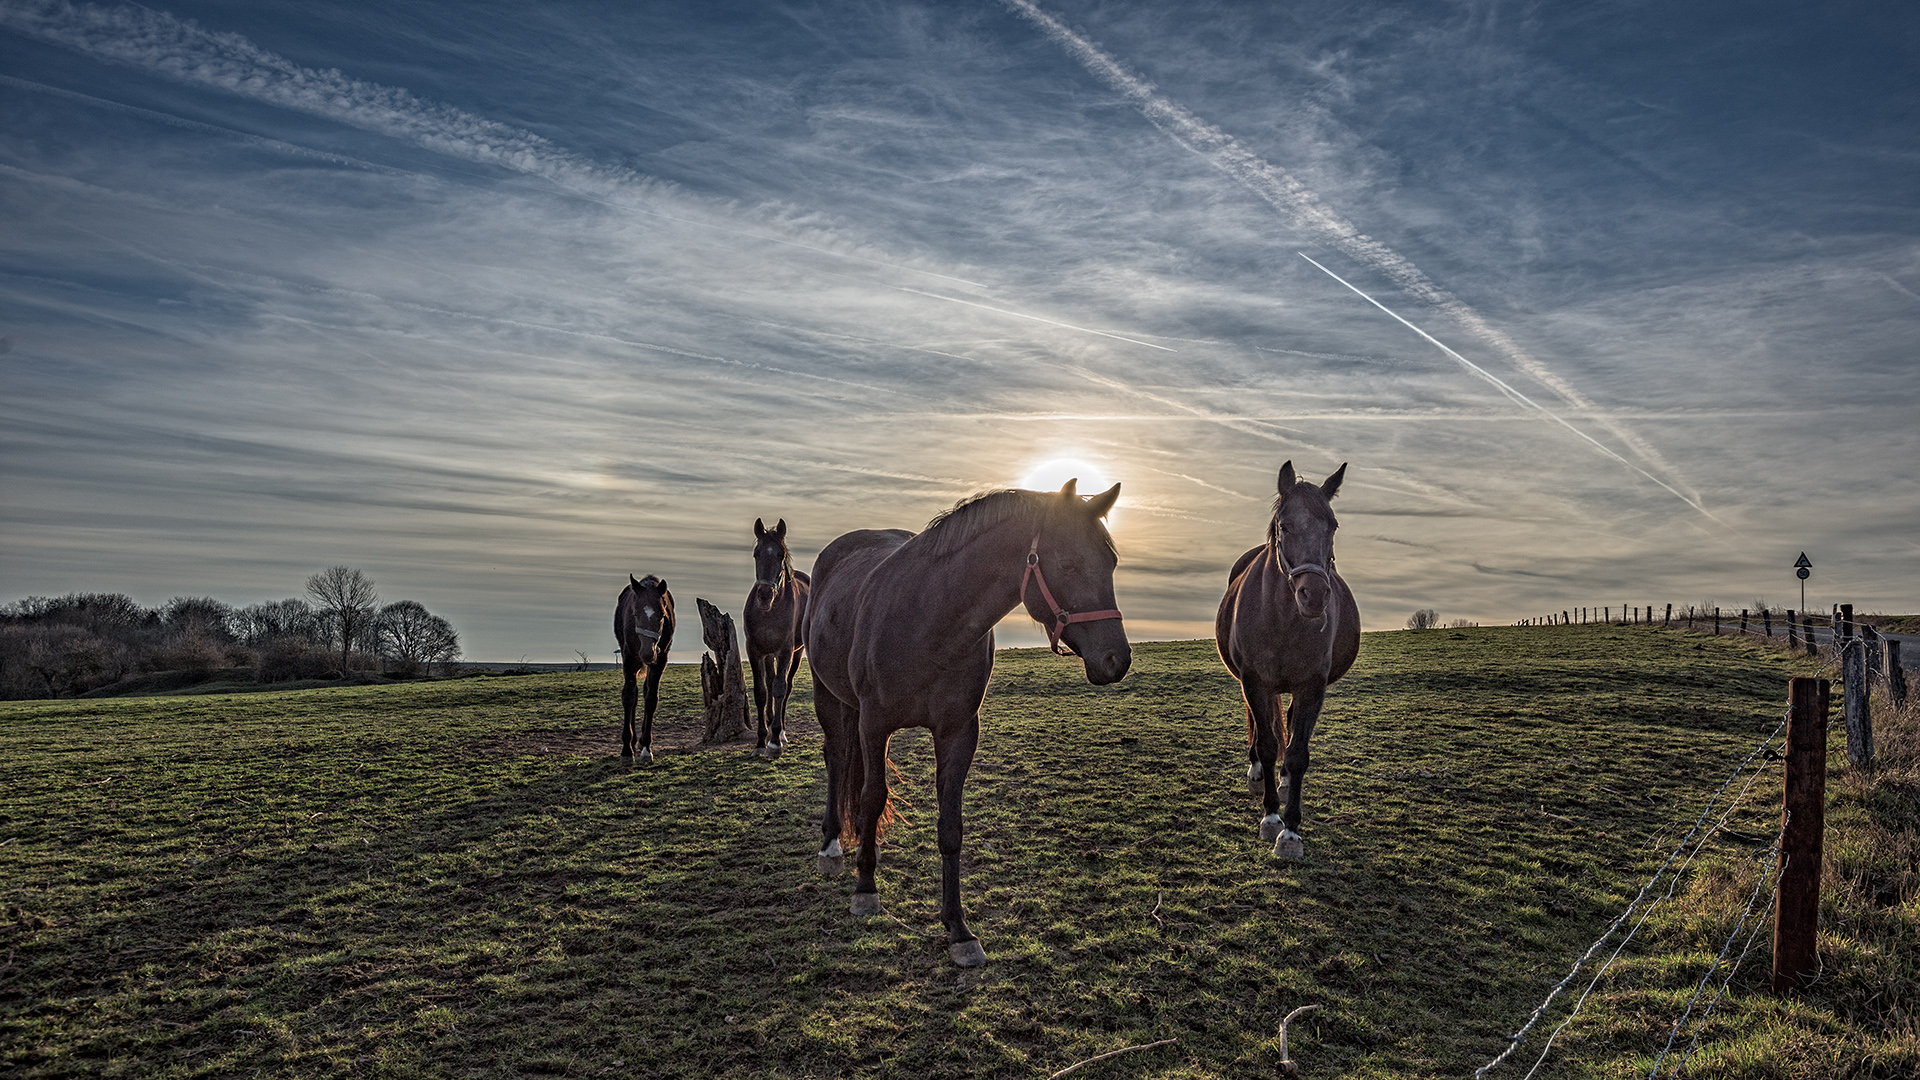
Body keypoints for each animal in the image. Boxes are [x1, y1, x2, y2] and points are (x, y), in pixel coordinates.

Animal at [618, 572, 679, 757]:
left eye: (662, 615)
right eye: (636, 614)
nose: (647, 653)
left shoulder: (660, 661)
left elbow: (651, 698)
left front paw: (646, 746)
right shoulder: (629, 658)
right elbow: (629, 696)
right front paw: (626, 748)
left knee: (645, 692)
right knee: (635, 695)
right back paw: (632, 741)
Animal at [741, 515, 810, 757]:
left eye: (780, 555)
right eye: (756, 553)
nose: (764, 595)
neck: (769, 612)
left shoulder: (785, 651)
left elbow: (780, 688)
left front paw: (774, 741)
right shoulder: (754, 650)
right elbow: (761, 692)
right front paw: (761, 741)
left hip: (796, 653)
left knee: (786, 686)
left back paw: (781, 732)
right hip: (768, 654)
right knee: (770, 683)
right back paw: (771, 723)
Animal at [806, 478, 1128, 968]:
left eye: (1110, 563)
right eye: (1069, 563)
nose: (1117, 659)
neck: (930, 619)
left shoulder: (958, 733)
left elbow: (950, 829)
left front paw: (958, 929)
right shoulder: (876, 724)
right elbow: (873, 798)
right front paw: (865, 890)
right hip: (830, 698)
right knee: (838, 759)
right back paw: (832, 847)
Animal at [1213, 457, 1367, 853]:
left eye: (1333, 525)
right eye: (1285, 525)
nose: (1314, 595)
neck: (1282, 617)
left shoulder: (1312, 686)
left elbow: (1297, 753)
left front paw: (1291, 829)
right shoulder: (1254, 681)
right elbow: (1268, 744)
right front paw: (1270, 818)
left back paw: (1280, 782)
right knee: (1259, 727)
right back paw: (1257, 775)